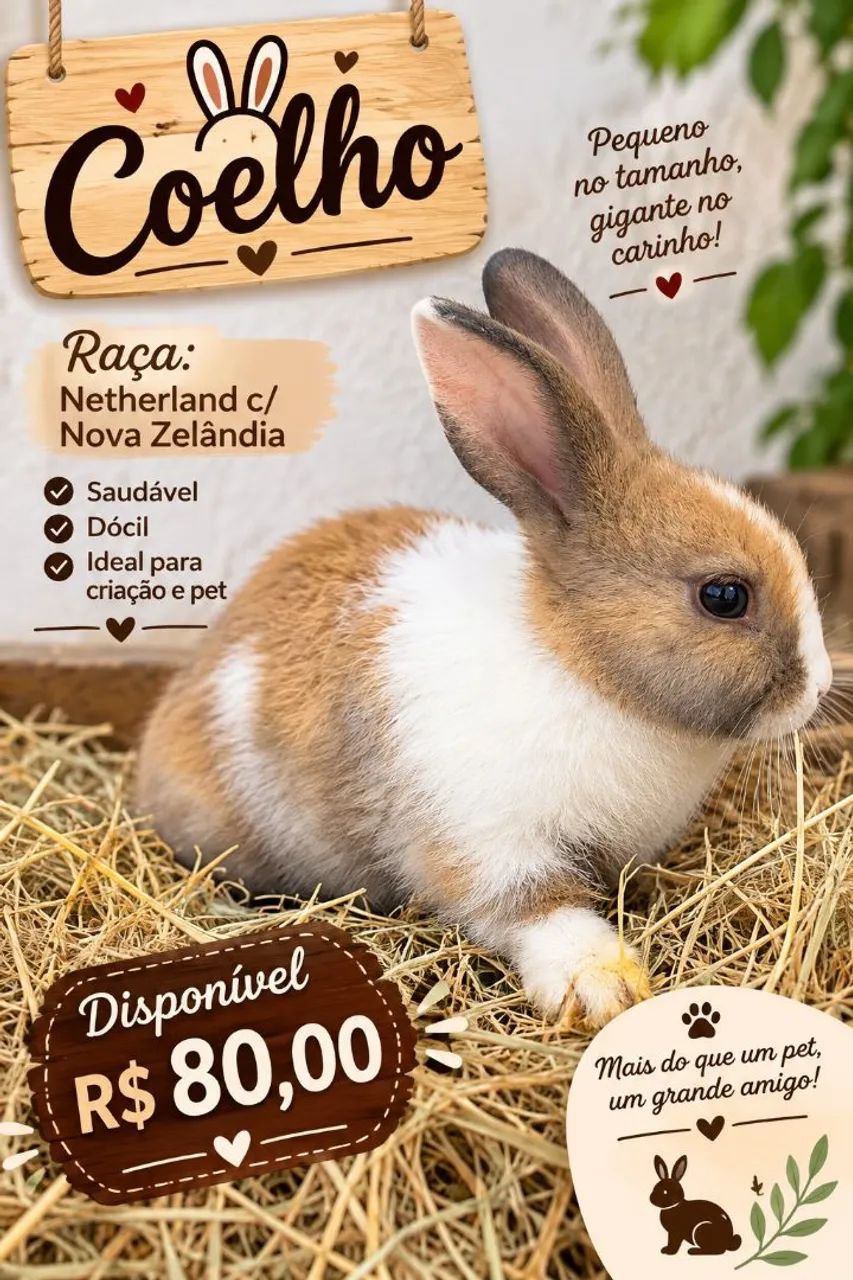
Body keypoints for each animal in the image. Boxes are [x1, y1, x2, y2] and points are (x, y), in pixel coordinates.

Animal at [137, 248, 832, 1029]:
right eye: (724, 596)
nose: (819, 687)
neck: (582, 670)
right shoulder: (486, 841)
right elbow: (538, 910)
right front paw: (607, 986)